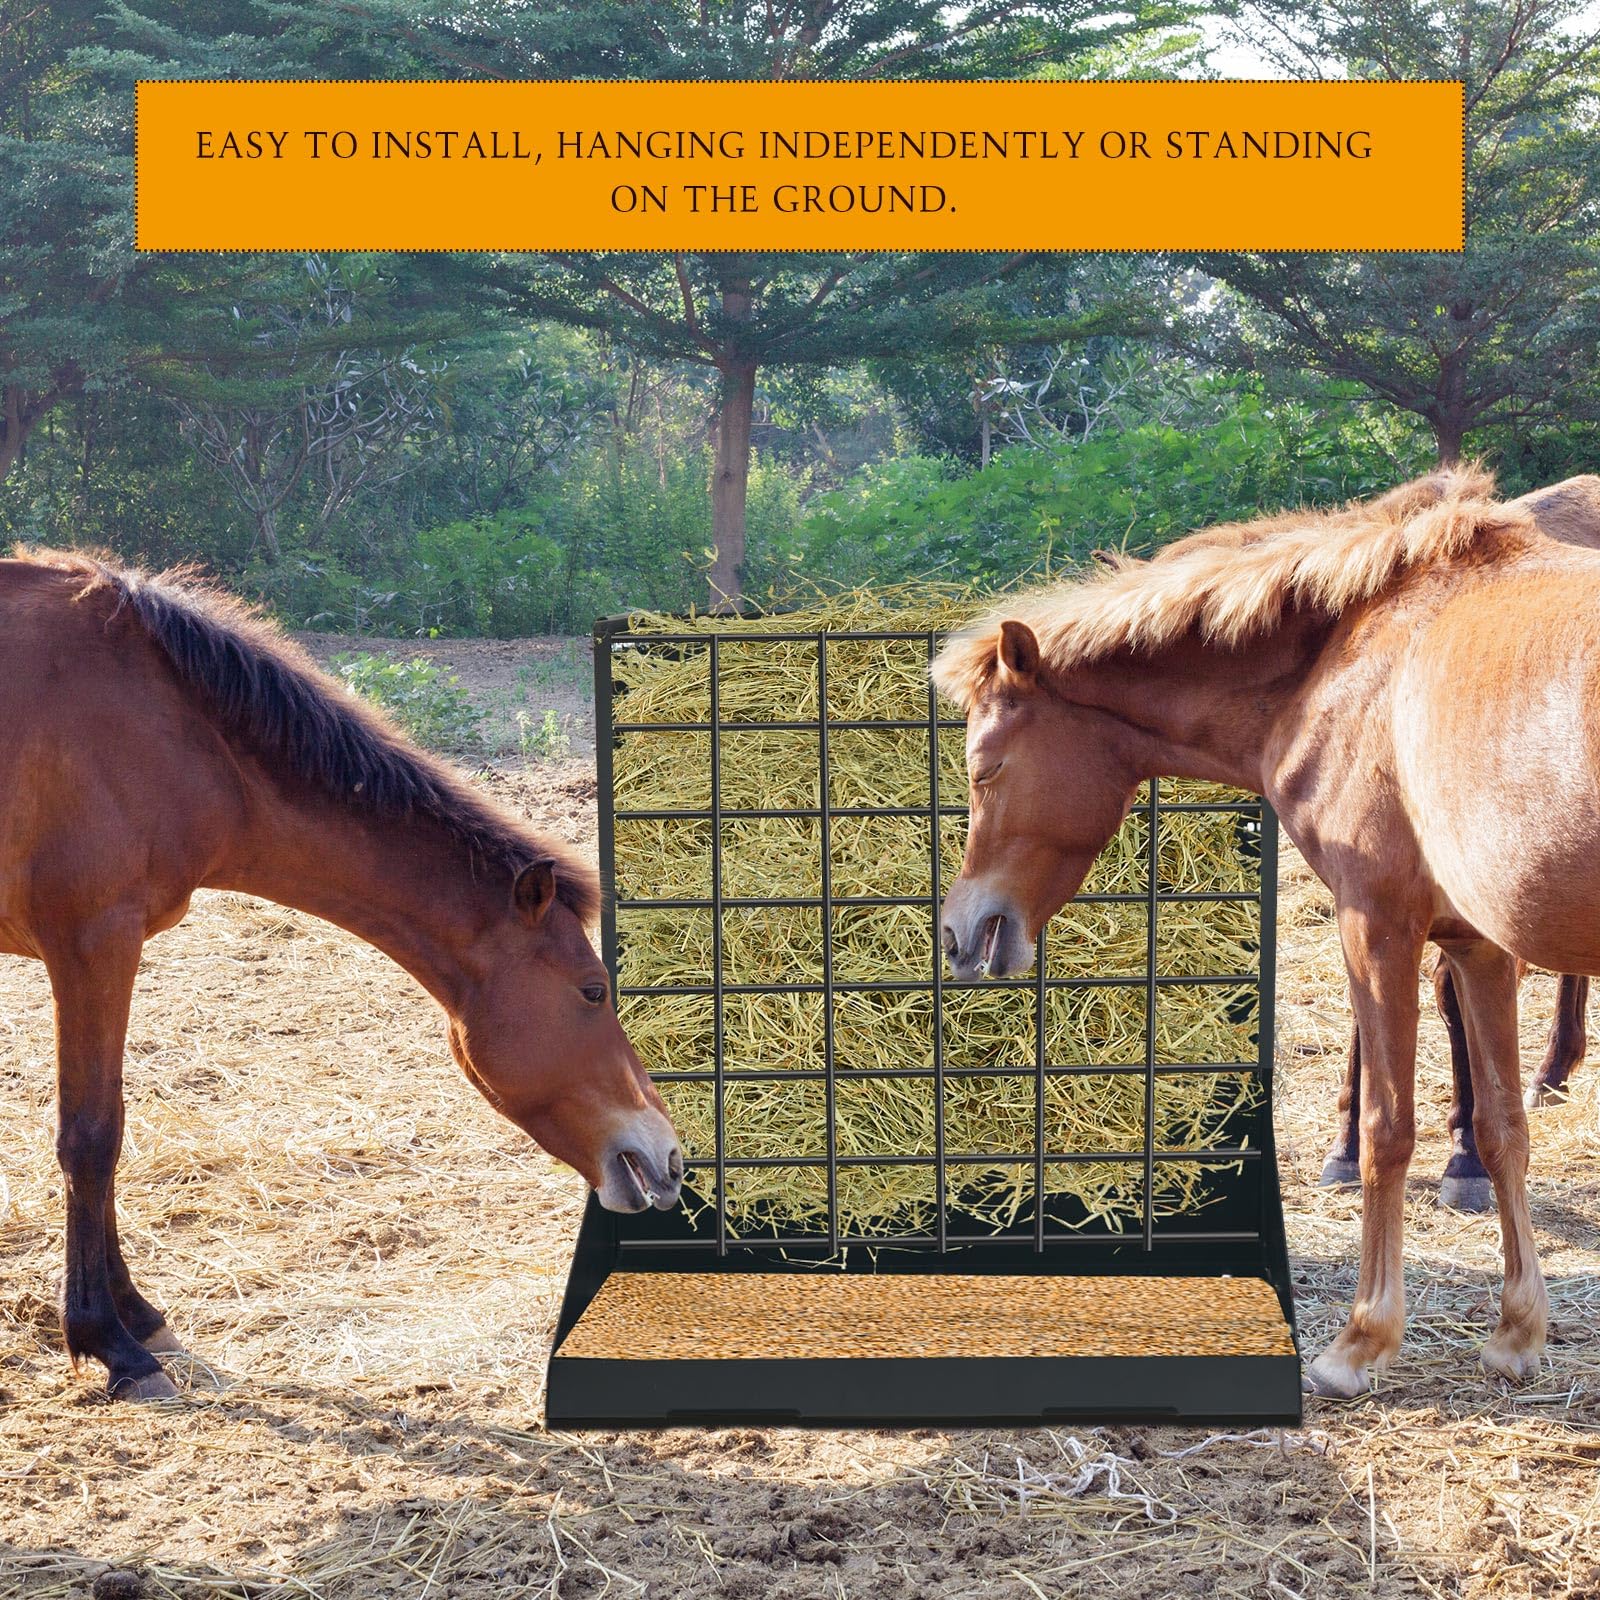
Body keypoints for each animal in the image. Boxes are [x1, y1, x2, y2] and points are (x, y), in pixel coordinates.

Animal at [0, 551, 682, 1400]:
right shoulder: (92, 944)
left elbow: (104, 1129)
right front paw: (109, 1345)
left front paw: (138, 1316)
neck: (173, 730)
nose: (667, 1159)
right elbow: (92, 1137)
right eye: (593, 992)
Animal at [933, 466, 1600, 1398]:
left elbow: (1388, 1130)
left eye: (985, 768)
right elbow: (1503, 1128)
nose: (962, 931)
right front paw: (1516, 1332)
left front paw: (1360, 1342)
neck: (1349, 658)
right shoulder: (1475, 944)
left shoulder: (1377, 925)